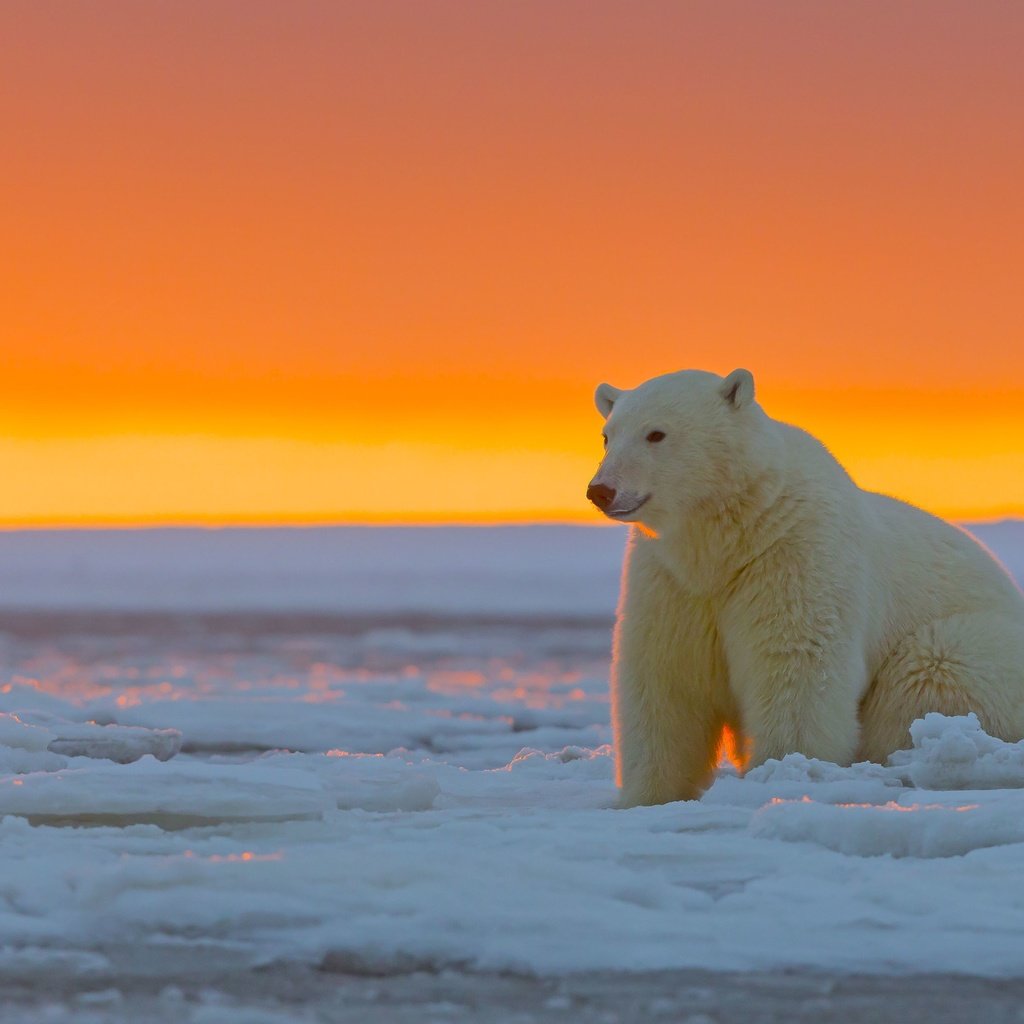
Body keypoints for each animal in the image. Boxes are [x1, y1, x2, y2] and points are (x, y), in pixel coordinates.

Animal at [589, 368, 1024, 806]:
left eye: (656, 433)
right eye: (608, 435)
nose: (601, 490)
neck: (730, 538)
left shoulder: (795, 553)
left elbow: (795, 665)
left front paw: (783, 771)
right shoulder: (671, 580)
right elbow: (665, 677)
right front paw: (648, 796)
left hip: (971, 651)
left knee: (934, 667)